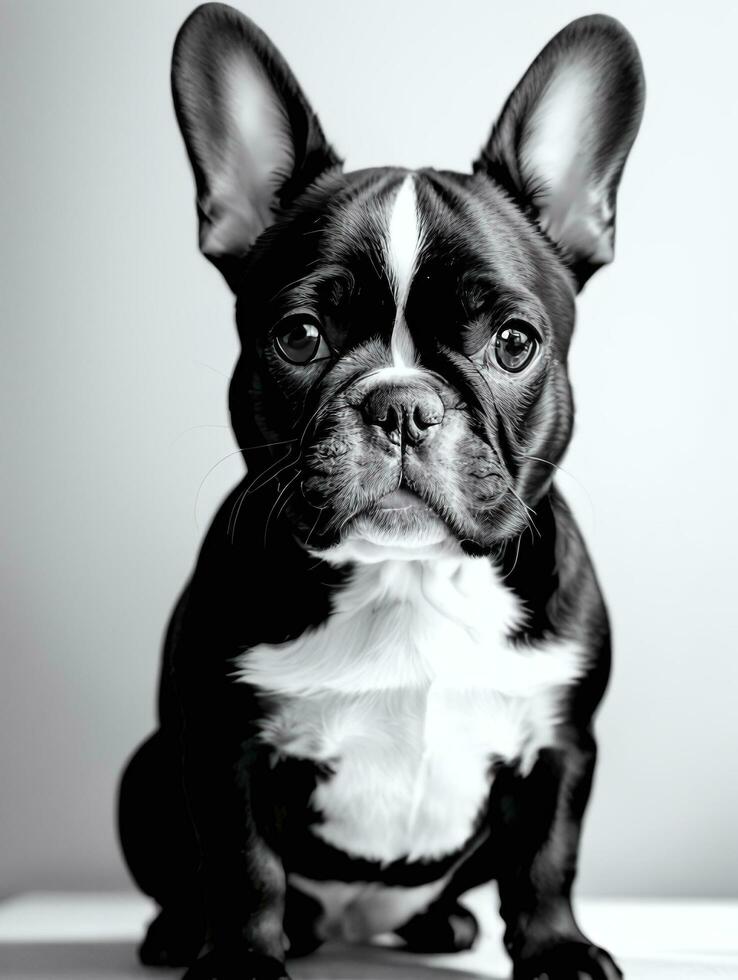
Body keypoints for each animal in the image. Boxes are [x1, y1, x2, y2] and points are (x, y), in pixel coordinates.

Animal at [118, 3, 640, 976]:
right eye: (299, 336)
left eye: (513, 342)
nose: (402, 405)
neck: (409, 580)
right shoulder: (222, 741)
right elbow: (242, 864)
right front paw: (239, 959)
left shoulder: (561, 742)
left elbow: (550, 856)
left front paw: (559, 950)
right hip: (145, 772)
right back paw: (178, 934)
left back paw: (444, 923)